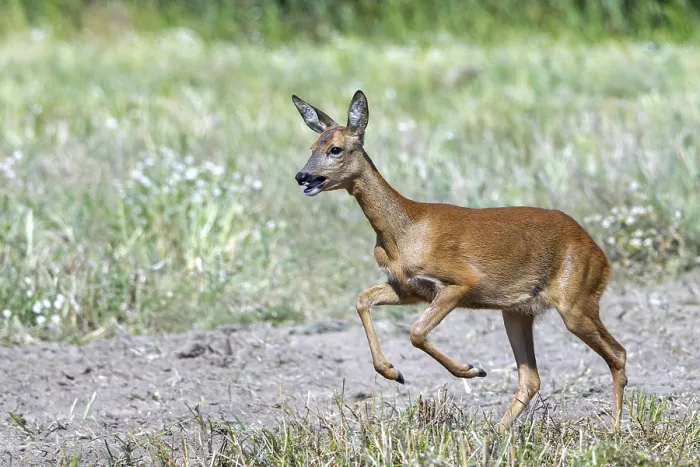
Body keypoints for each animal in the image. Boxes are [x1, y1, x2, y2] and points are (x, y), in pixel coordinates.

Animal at [291, 90, 627, 430]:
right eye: (312, 147)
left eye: (335, 148)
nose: (303, 177)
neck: (406, 230)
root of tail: (601, 256)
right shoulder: (408, 288)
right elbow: (362, 299)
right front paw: (392, 371)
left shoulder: (461, 282)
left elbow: (416, 332)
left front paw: (471, 369)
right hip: (518, 310)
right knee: (531, 377)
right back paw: (496, 431)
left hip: (576, 301)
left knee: (618, 353)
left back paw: (613, 427)